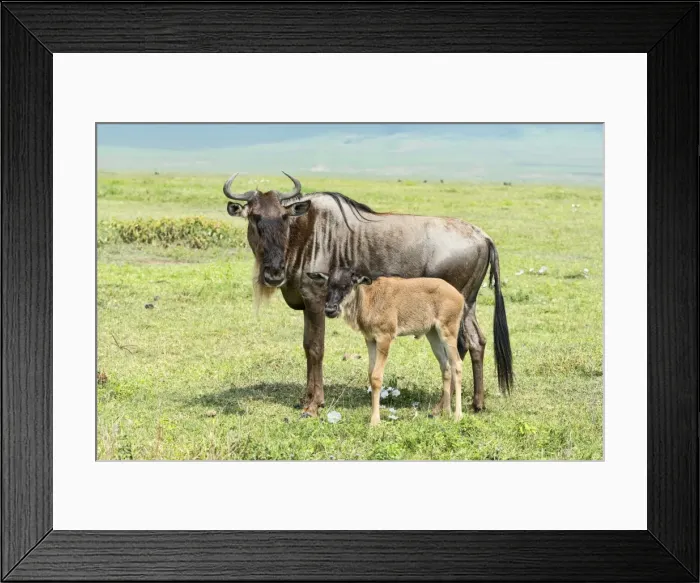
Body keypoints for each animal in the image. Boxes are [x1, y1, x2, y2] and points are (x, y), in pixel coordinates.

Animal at [307, 267, 466, 425]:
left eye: (347, 285)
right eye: (329, 285)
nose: (330, 310)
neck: (369, 299)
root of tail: (459, 296)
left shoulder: (385, 338)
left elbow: (377, 377)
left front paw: (375, 421)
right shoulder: (370, 339)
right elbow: (370, 374)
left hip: (448, 332)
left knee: (457, 364)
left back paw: (457, 415)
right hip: (433, 335)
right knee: (445, 367)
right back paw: (446, 412)